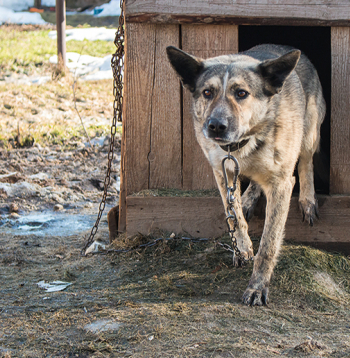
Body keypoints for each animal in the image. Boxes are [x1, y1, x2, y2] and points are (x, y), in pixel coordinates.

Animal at [167, 44, 326, 308]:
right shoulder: (222, 172)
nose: (216, 126)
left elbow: (269, 244)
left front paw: (257, 287)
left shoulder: (281, 184)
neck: (240, 145)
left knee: (306, 162)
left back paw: (307, 199)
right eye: (207, 92)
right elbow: (234, 216)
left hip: (309, 132)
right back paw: (250, 198)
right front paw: (242, 248)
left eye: (241, 93)